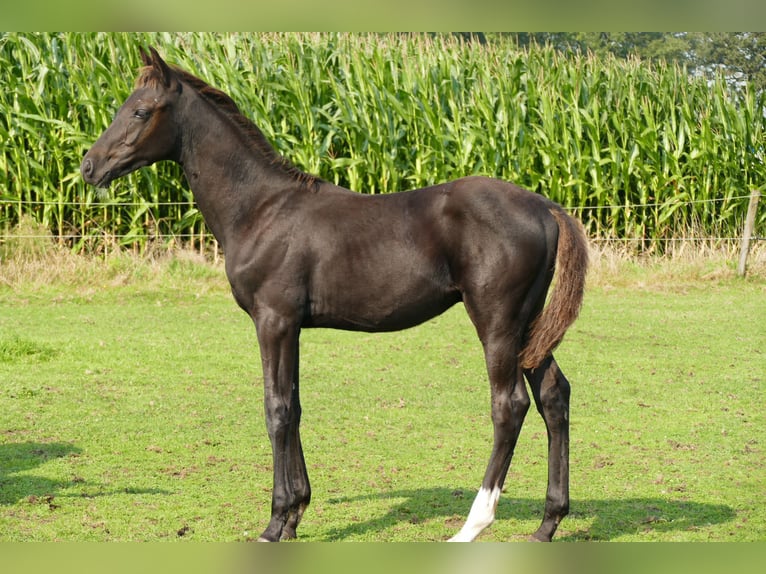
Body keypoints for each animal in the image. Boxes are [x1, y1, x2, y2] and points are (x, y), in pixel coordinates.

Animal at [81, 46, 592, 544]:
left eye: (141, 110)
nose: (89, 166)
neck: (261, 209)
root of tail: (546, 207)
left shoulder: (273, 320)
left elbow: (276, 408)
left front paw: (275, 523)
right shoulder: (292, 326)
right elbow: (295, 406)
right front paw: (295, 514)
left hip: (497, 321)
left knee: (509, 405)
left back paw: (472, 525)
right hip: (529, 325)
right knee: (554, 395)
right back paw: (547, 524)